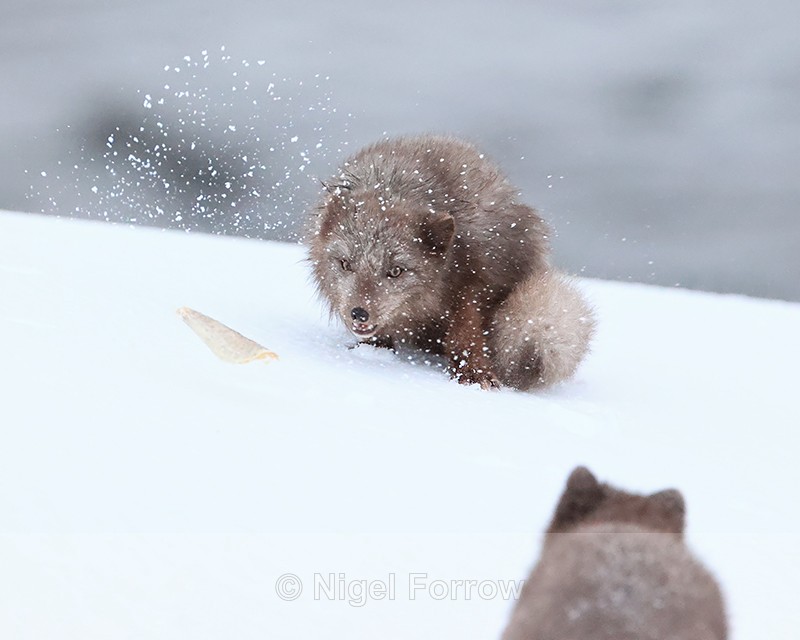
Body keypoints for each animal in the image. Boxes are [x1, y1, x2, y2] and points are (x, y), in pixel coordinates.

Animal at [307, 135, 595, 390]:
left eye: (396, 271)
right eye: (345, 264)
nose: (359, 313)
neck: (392, 186)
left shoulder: (476, 276)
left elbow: (465, 329)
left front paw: (474, 372)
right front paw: (374, 349)